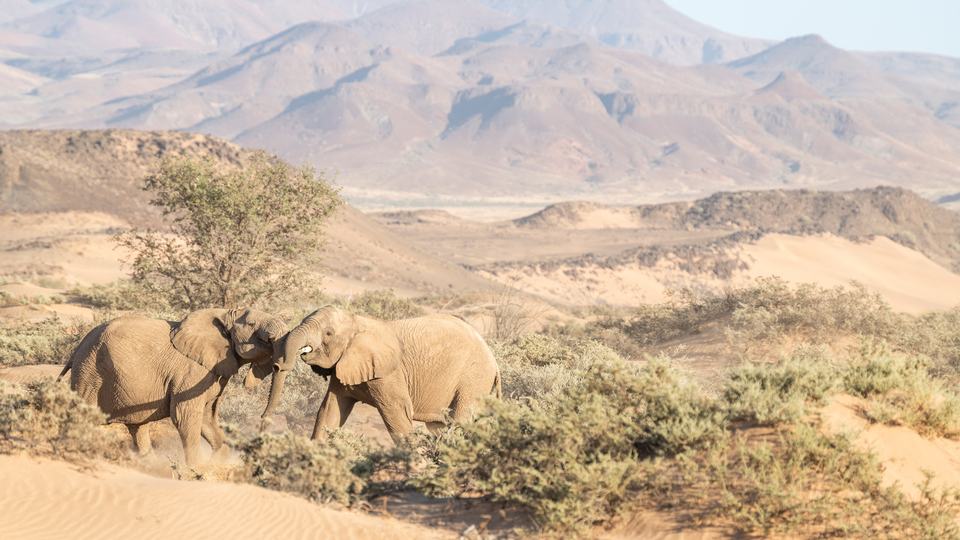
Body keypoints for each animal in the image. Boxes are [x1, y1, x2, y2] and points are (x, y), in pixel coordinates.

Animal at [59, 308, 286, 466]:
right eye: (252, 324)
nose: (262, 420)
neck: (223, 313)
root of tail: (80, 344)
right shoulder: (191, 372)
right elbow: (186, 416)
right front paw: (196, 470)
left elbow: (207, 417)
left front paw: (217, 461)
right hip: (91, 374)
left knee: (138, 427)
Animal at [261, 306, 501, 441]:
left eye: (328, 333)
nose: (263, 421)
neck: (358, 321)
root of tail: (494, 362)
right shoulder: (345, 366)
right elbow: (329, 412)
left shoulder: (388, 373)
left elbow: (397, 414)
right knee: (439, 427)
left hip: (473, 381)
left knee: (460, 422)